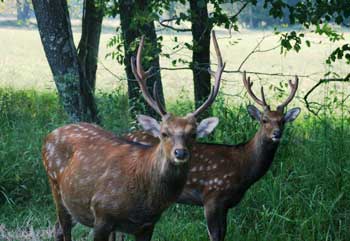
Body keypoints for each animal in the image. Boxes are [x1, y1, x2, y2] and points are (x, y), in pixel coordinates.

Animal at [42, 32, 224, 241]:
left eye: (193, 134)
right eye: (164, 133)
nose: (180, 153)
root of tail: (48, 136)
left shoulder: (147, 225)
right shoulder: (101, 212)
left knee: (57, 227)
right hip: (55, 186)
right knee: (63, 229)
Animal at [123, 71, 300, 241]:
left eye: (282, 120)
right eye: (264, 120)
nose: (277, 133)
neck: (243, 166)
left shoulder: (225, 204)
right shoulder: (213, 195)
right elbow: (214, 235)